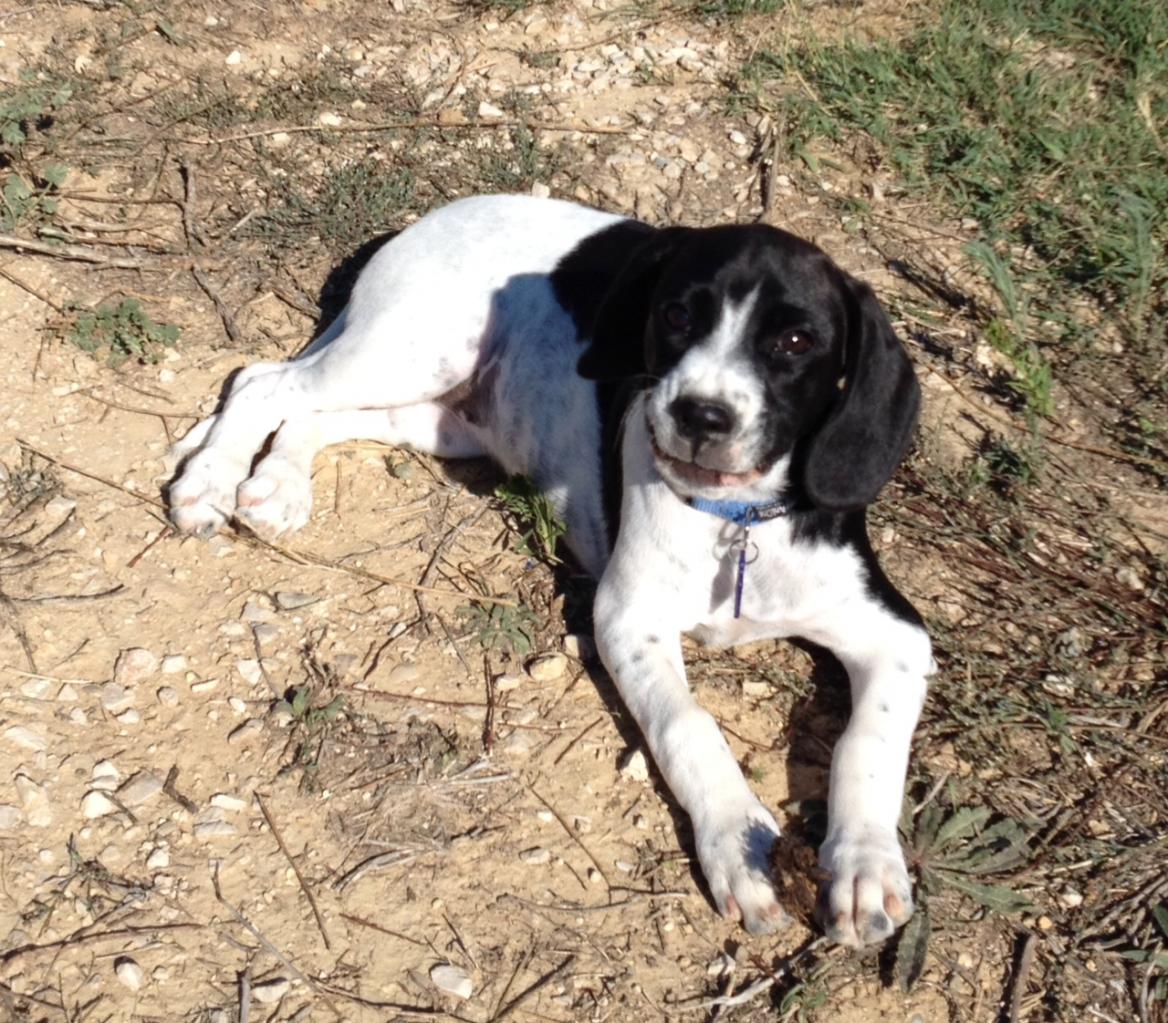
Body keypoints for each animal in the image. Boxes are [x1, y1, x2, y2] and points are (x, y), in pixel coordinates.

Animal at [167, 196, 929, 948]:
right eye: (676, 315)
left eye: (796, 343)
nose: (699, 413)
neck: (737, 518)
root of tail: (441, 212)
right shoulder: (627, 618)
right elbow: (688, 725)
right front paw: (737, 843)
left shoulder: (898, 633)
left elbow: (868, 741)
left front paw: (864, 864)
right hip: (407, 353)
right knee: (264, 383)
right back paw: (209, 480)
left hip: (439, 419)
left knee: (308, 414)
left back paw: (279, 484)